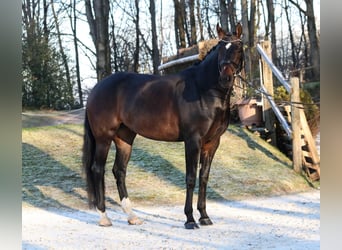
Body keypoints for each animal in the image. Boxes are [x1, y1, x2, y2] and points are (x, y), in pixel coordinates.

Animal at [82, 23, 243, 229]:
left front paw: (204, 216)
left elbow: (204, 178)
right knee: (97, 169)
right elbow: (190, 178)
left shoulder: (212, 143)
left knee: (119, 171)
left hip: (124, 138)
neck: (204, 90)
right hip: (104, 138)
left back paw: (132, 216)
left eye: (238, 48)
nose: (225, 78)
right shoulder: (193, 141)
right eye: (221, 48)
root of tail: (96, 88)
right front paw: (190, 219)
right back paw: (104, 217)